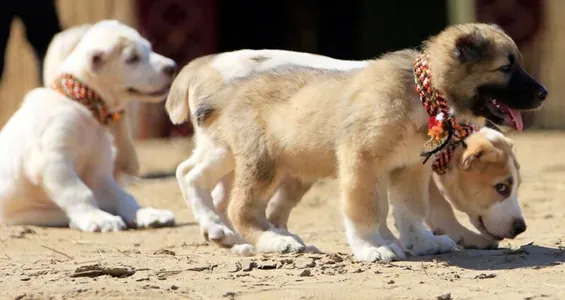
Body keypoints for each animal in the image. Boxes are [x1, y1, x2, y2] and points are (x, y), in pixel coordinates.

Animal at [0, 19, 176, 232]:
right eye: (132, 58)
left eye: (149, 48)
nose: (172, 67)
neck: (82, 105)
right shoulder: (52, 160)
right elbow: (78, 193)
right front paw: (97, 218)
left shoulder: (97, 171)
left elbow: (122, 196)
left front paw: (143, 213)